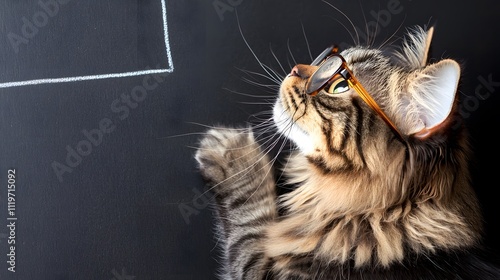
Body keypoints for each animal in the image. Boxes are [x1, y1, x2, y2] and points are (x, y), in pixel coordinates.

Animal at [193, 25, 500, 278]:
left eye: (339, 86)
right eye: (326, 60)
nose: (294, 69)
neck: (384, 216)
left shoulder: (265, 269)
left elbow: (249, 228)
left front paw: (232, 151)